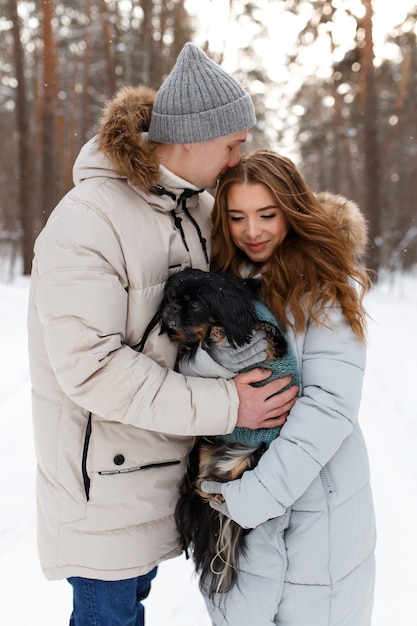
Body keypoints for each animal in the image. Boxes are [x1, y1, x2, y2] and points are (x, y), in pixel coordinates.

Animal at [135, 266, 298, 596]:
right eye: (170, 299)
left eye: (195, 305)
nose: (171, 308)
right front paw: (212, 338)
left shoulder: (272, 343)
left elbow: (270, 335)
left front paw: (223, 332)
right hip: (206, 450)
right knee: (202, 484)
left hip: (252, 456)